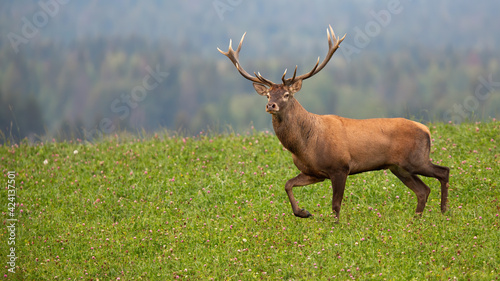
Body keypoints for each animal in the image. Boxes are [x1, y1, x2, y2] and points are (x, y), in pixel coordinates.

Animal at [218, 25, 450, 220]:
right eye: (267, 95)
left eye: (286, 94)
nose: (270, 105)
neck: (306, 145)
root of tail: (426, 129)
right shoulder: (314, 172)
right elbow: (287, 184)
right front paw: (303, 212)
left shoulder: (340, 167)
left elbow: (335, 205)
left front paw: (334, 227)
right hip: (399, 167)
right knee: (423, 190)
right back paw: (417, 219)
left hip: (416, 159)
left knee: (443, 171)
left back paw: (444, 211)